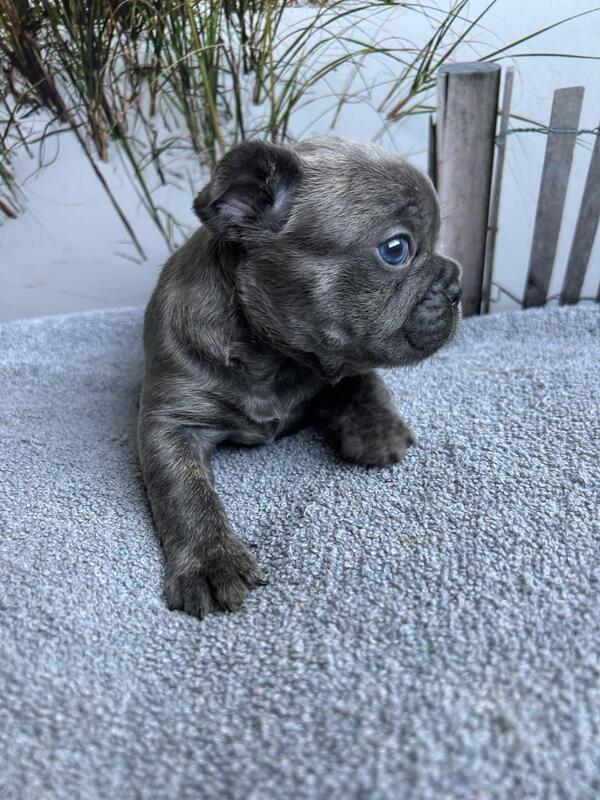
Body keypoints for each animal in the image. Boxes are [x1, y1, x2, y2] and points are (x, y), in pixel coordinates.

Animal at [137, 135, 462, 619]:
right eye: (395, 249)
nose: (458, 286)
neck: (273, 356)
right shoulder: (169, 424)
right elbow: (185, 493)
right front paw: (212, 561)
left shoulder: (341, 357)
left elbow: (364, 379)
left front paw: (379, 430)